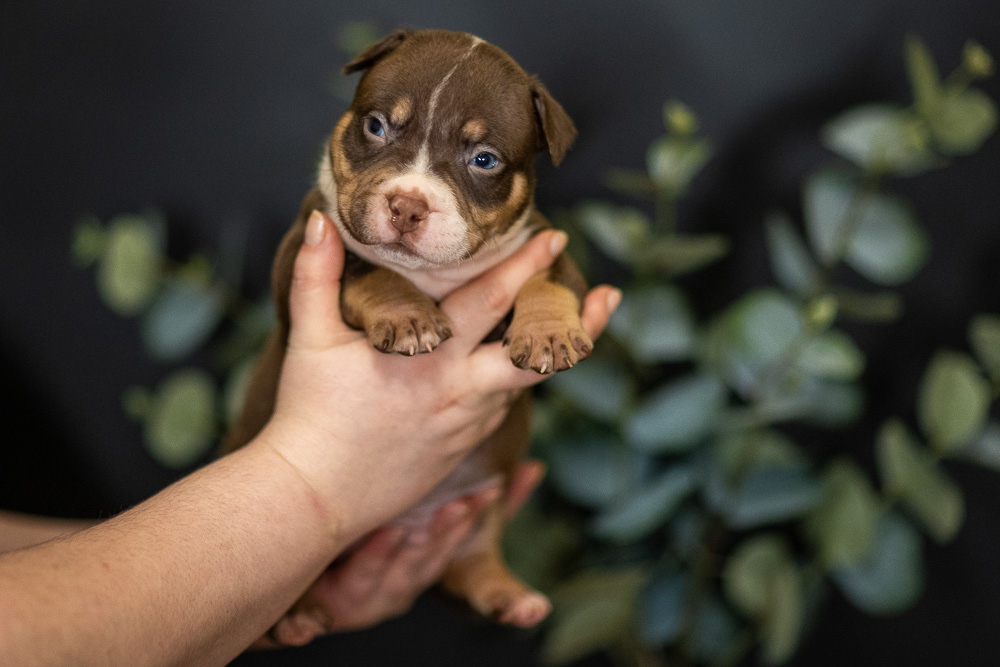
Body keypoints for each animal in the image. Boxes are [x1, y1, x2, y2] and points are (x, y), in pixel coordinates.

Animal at [223, 28, 590, 636]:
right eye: (375, 127)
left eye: (484, 160)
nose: (407, 205)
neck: (431, 275)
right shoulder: (305, 244)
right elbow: (367, 269)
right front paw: (409, 316)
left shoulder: (546, 241)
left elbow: (552, 277)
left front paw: (549, 333)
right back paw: (295, 616)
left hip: (479, 508)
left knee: (469, 558)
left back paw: (507, 593)